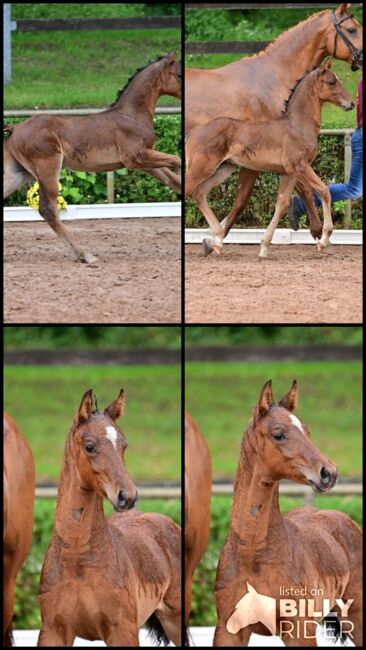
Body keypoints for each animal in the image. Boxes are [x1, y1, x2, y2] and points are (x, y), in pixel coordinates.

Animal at [4, 52, 182, 262]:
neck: (131, 115)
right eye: (179, 74)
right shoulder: (136, 157)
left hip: (18, 174)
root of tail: (15, 128)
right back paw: (85, 255)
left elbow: (174, 180)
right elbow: (177, 160)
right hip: (48, 168)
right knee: (48, 210)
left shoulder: (145, 162)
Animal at [38, 388, 182, 644]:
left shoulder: (122, 631)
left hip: (174, 619)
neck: (77, 561)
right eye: (89, 446)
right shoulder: (52, 631)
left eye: (124, 445)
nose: (128, 496)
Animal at [184, 3, 362, 254]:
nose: (350, 103)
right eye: (351, 29)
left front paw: (261, 244)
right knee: (189, 189)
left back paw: (216, 235)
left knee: (198, 192)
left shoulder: (287, 170)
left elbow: (282, 201)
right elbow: (320, 190)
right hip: (205, 167)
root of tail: (195, 132)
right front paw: (322, 235)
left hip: (223, 168)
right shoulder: (296, 166)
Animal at [213, 380, 362, 644]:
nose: (329, 472)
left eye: (307, 431)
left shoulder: (299, 629)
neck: (254, 556)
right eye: (278, 434)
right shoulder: (228, 630)